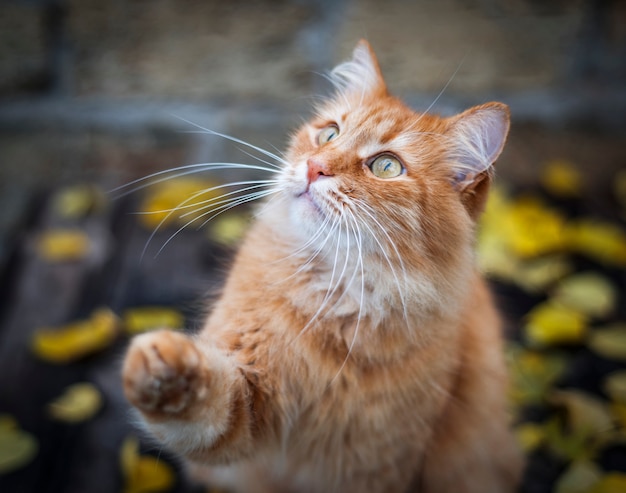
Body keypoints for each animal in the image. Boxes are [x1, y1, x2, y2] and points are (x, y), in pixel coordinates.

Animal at [120, 40, 520, 490]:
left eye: (386, 166)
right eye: (329, 133)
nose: (315, 166)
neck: (336, 294)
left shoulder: (379, 463)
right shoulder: (245, 405)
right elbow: (206, 407)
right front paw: (162, 365)